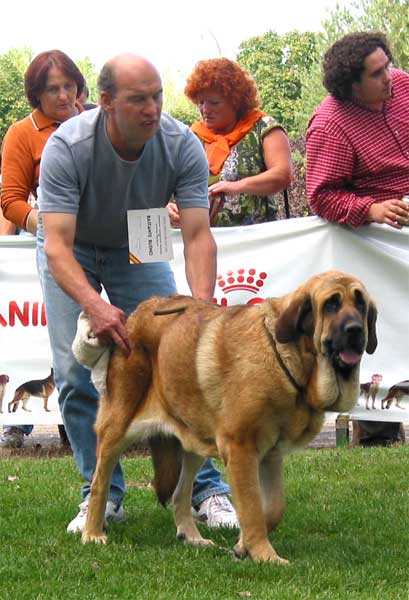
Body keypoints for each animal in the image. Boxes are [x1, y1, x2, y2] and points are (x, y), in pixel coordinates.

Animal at [82, 270, 376, 564]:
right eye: (331, 304)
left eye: (360, 304)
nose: (356, 330)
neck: (289, 359)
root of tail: (138, 313)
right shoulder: (241, 449)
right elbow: (252, 507)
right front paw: (265, 555)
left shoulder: (271, 454)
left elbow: (274, 507)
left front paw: (242, 546)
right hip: (118, 427)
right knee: (99, 482)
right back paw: (92, 532)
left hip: (195, 439)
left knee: (180, 493)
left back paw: (192, 537)